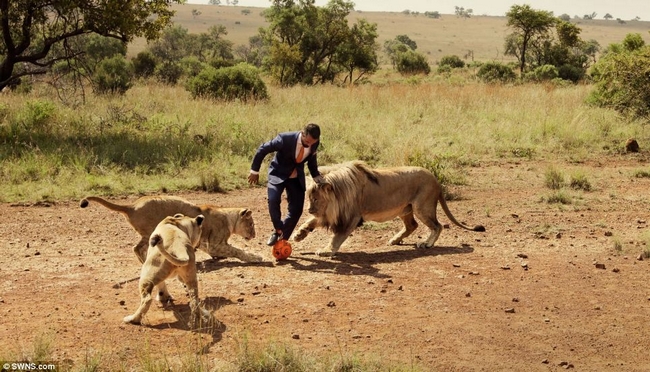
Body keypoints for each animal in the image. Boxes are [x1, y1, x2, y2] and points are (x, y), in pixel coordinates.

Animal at [292, 161, 480, 258]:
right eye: (309, 198)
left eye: (316, 199)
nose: (309, 210)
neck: (338, 193)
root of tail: (435, 180)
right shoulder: (329, 214)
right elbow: (312, 222)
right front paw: (299, 234)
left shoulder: (351, 217)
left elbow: (337, 237)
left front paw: (325, 251)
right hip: (405, 209)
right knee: (412, 225)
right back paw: (395, 240)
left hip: (422, 207)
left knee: (437, 225)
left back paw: (426, 243)